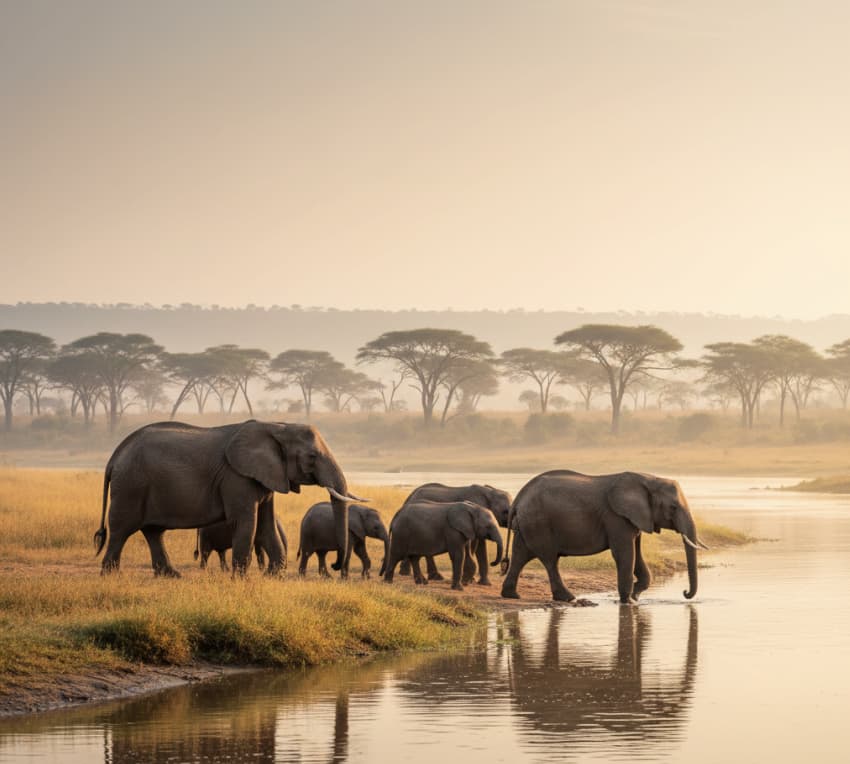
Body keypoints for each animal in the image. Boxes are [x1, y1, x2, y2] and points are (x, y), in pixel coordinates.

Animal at [93, 420, 364, 577]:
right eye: (311, 457)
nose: (335, 566)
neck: (277, 426)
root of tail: (114, 456)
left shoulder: (266, 475)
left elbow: (265, 525)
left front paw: (273, 577)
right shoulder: (237, 476)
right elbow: (246, 522)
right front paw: (241, 580)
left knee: (153, 531)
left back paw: (171, 575)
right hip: (130, 485)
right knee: (121, 530)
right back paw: (111, 576)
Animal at [500, 470, 708, 603]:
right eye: (673, 508)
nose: (685, 593)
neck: (649, 479)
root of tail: (518, 498)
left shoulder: (635, 518)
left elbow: (637, 554)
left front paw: (635, 596)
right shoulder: (616, 518)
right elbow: (625, 554)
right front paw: (628, 603)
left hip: (528, 523)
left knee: (520, 555)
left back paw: (511, 596)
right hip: (539, 523)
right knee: (549, 559)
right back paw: (568, 598)